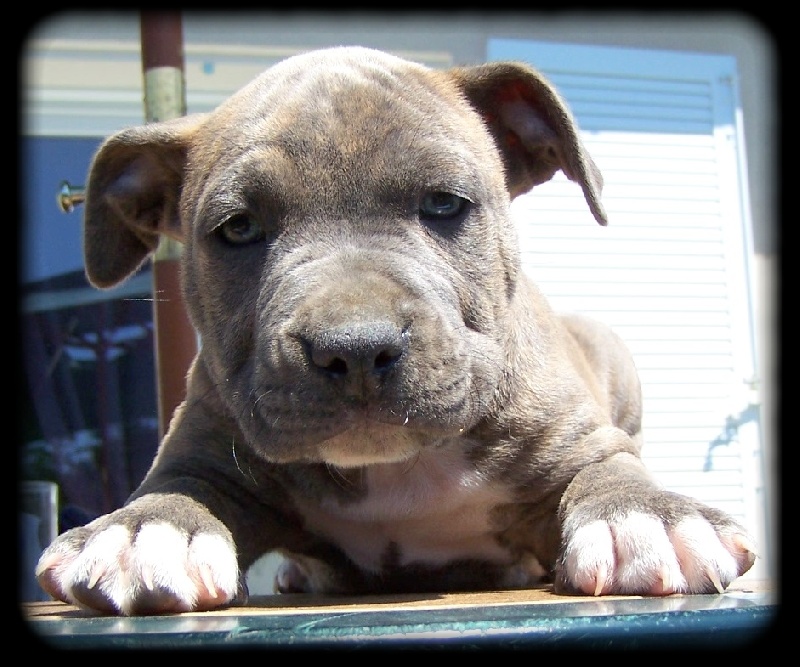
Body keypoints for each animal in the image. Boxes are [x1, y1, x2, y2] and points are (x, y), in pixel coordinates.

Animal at [35, 46, 755, 615]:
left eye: (445, 204)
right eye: (237, 228)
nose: (354, 348)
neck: (399, 469)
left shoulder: (577, 437)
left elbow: (610, 468)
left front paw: (648, 517)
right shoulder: (206, 443)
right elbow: (180, 484)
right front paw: (143, 531)